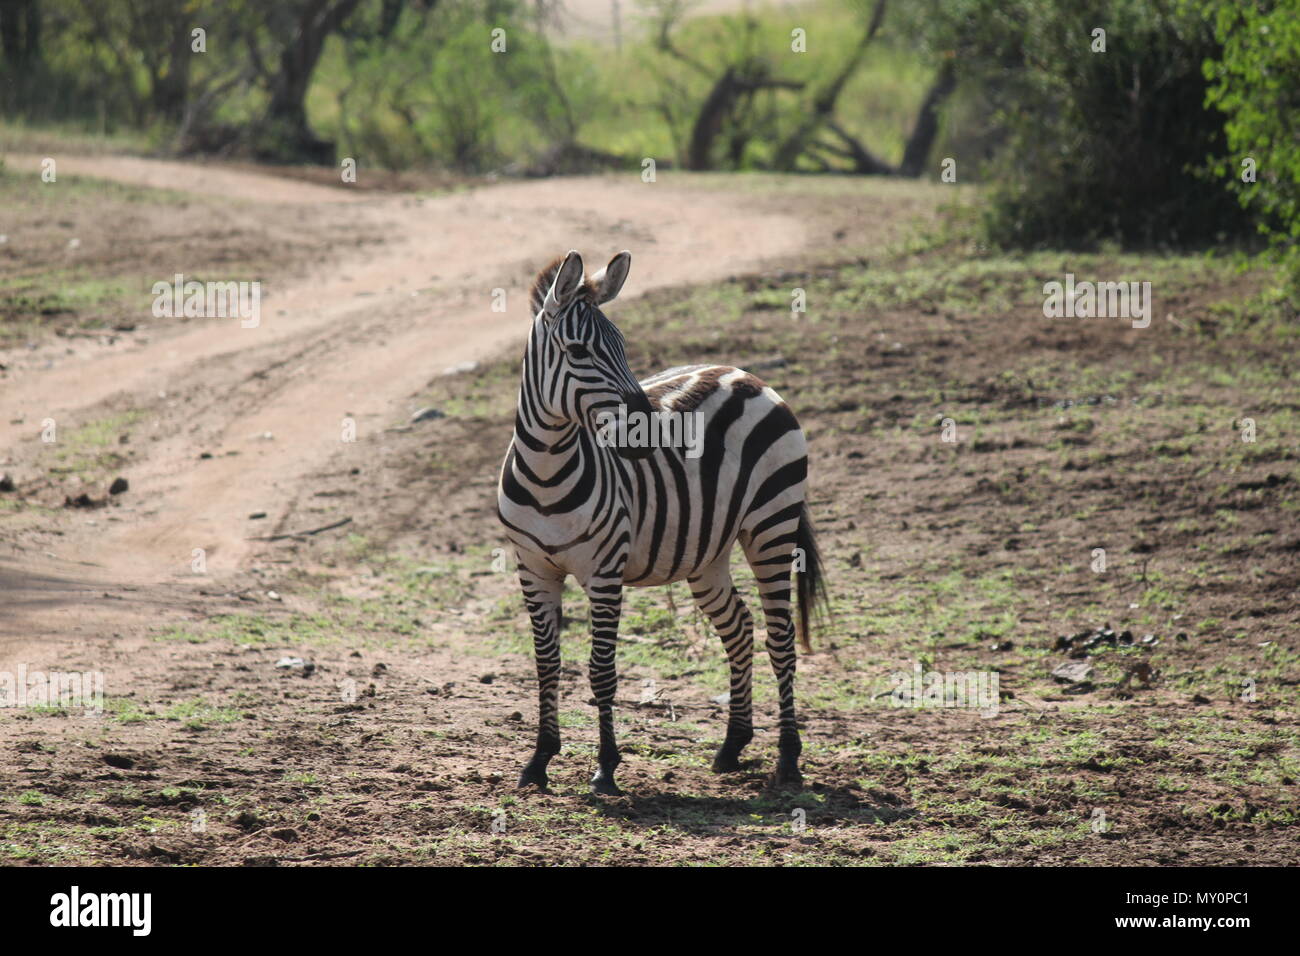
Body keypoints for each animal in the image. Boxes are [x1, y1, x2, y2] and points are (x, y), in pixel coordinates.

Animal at [496, 251, 821, 796]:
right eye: (578, 351)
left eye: (623, 346)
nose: (647, 428)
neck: (546, 473)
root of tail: (743, 374)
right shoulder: (533, 570)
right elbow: (546, 666)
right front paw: (539, 761)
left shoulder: (605, 572)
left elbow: (601, 670)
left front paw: (606, 767)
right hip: (707, 553)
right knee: (739, 627)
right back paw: (732, 746)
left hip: (772, 525)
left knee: (780, 638)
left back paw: (788, 760)